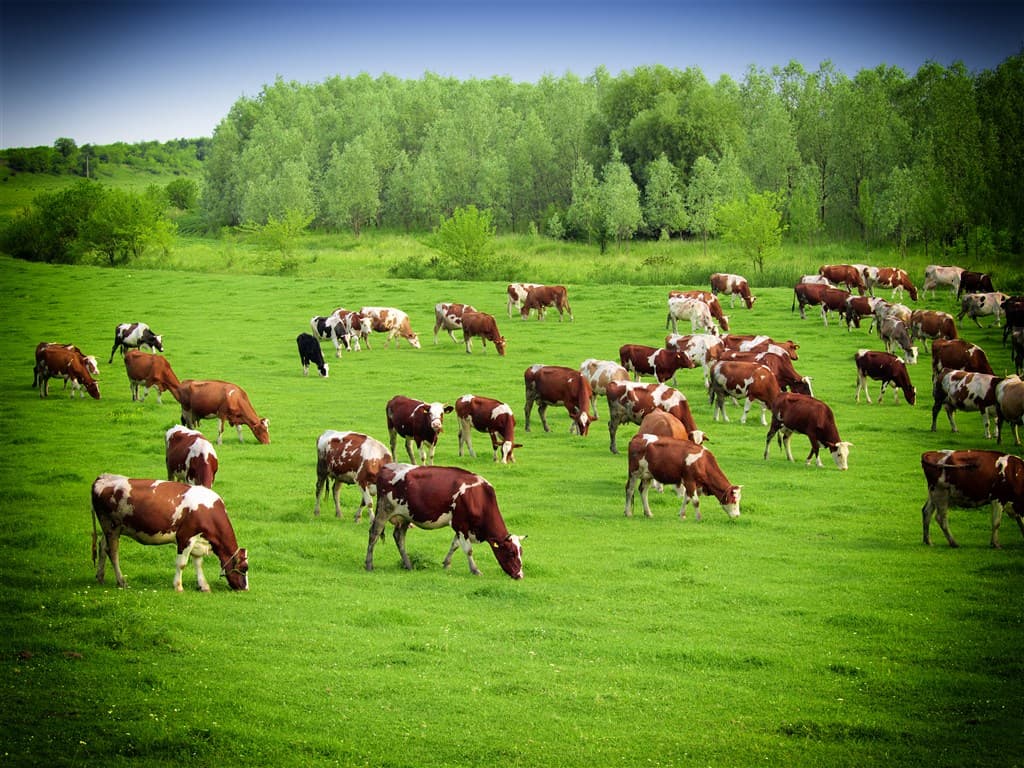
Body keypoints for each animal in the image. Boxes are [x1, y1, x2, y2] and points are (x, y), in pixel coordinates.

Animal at [90, 474, 248, 591]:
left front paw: (204, 586)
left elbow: (198, 563)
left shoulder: (198, 540)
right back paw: (121, 581)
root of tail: (103, 477)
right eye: (244, 568)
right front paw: (178, 586)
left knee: (102, 546)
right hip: (111, 526)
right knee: (112, 551)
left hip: (110, 529)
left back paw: (100, 577)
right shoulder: (185, 537)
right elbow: (182, 564)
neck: (208, 511)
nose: (245, 588)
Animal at [365, 463, 524, 579]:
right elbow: (468, 550)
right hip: (384, 510)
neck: (477, 497)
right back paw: (369, 565)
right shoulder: (460, 524)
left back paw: (408, 565)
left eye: (520, 552)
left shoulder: (462, 527)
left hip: (405, 516)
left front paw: (446, 564)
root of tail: (386, 467)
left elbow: (454, 545)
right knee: (374, 534)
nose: (519, 575)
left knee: (399, 537)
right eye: (511, 553)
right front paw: (475, 570)